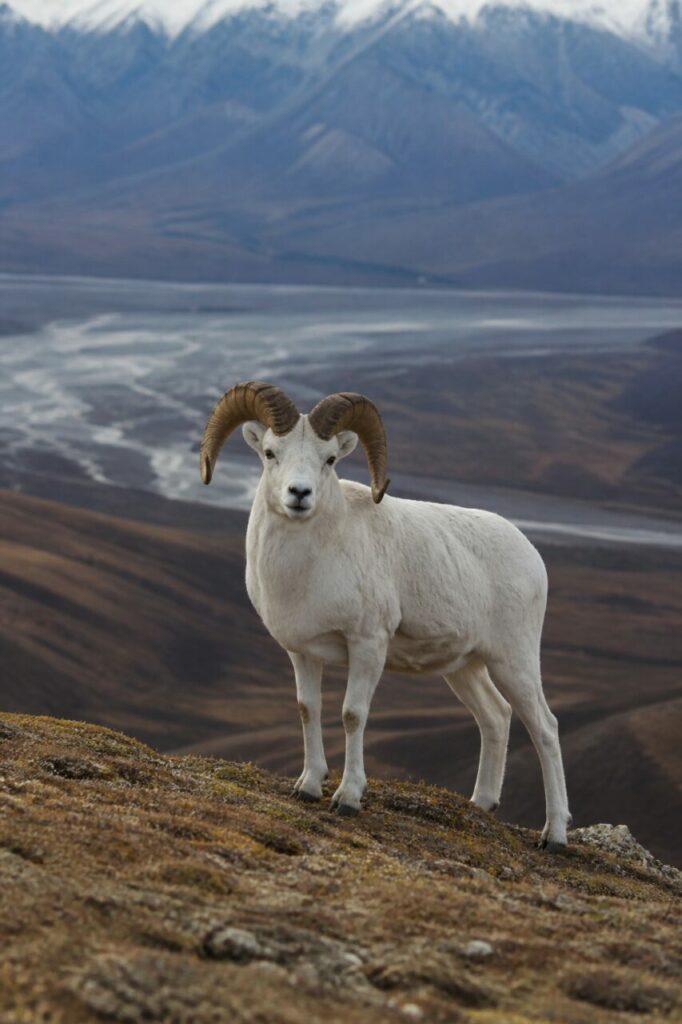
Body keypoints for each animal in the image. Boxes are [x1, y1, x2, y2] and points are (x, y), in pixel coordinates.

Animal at [200, 381, 572, 851]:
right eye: (270, 452)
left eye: (329, 459)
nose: (299, 495)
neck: (307, 570)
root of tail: (531, 553)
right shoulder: (303, 653)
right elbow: (308, 709)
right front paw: (308, 786)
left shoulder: (367, 646)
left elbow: (352, 714)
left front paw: (347, 797)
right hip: (465, 668)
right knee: (496, 716)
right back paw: (481, 804)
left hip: (514, 660)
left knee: (545, 728)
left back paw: (554, 836)